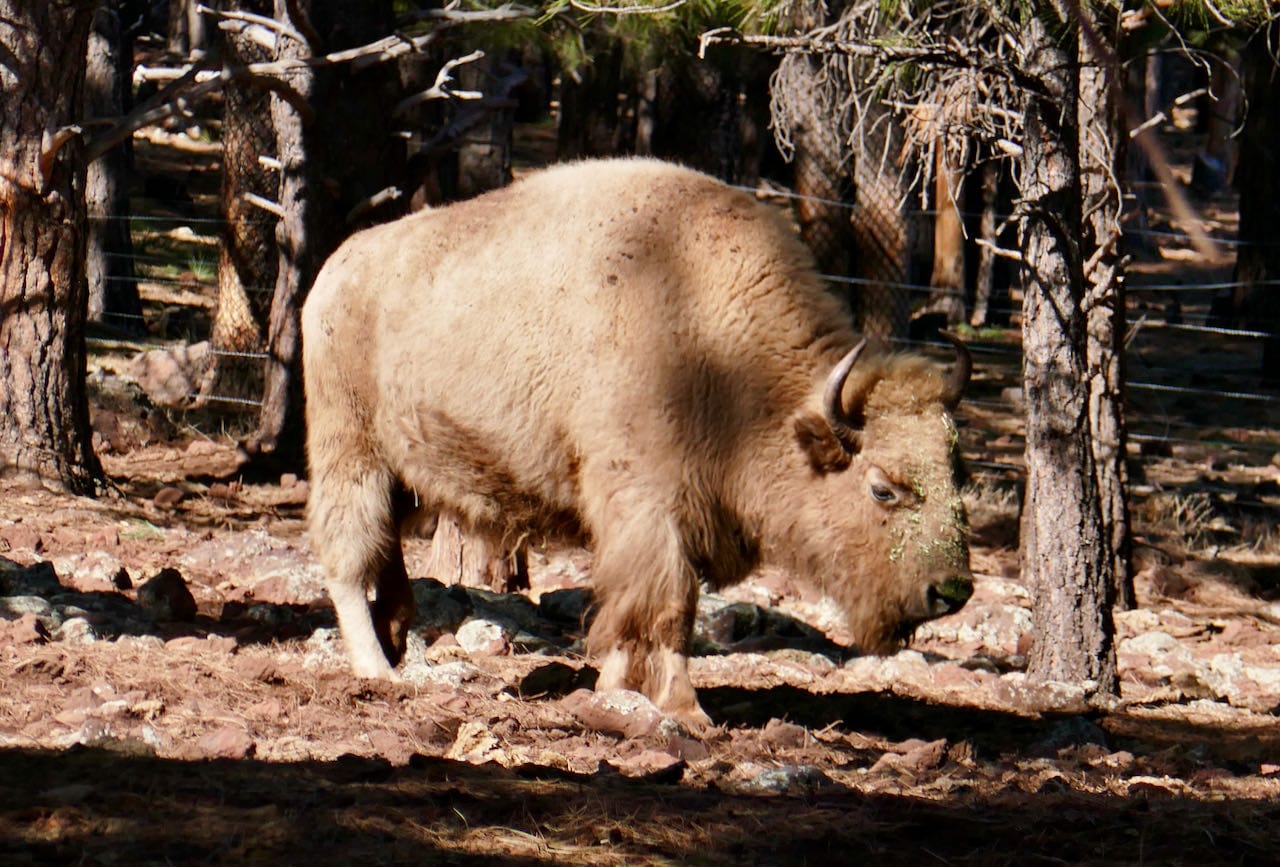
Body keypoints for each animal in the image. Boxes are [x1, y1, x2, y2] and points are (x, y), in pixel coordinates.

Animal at [304, 158, 972, 727]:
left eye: (954, 472)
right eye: (883, 489)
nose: (952, 590)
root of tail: (333, 271)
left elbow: (653, 608)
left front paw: (622, 690)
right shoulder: (650, 509)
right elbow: (668, 608)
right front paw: (683, 709)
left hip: (403, 476)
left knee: (385, 552)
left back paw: (396, 640)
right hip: (350, 453)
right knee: (347, 556)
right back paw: (378, 671)